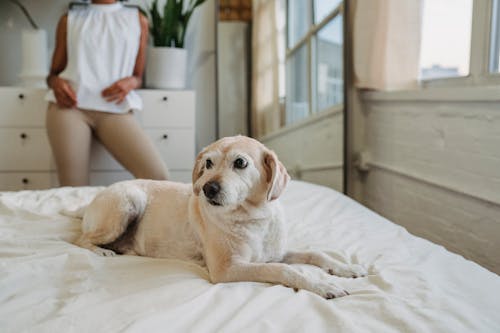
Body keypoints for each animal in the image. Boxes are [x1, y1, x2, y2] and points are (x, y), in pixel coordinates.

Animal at [74, 135, 366, 298]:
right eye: (208, 163)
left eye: (240, 163)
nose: (207, 189)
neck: (254, 219)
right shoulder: (228, 269)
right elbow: (284, 270)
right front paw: (323, 285)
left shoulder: (275, 252)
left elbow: (315, 254)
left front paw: (345, 268)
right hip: (128, 202)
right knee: (80, 239)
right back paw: (102, 250)